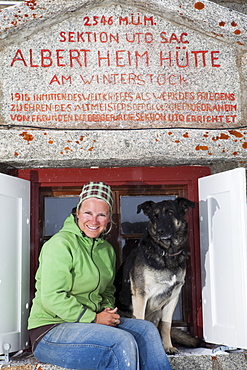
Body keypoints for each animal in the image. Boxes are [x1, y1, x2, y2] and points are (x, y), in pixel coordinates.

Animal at [115, 198, 200, 354]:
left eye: (170, 213)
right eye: (155, 216)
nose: (160, 231)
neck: (166, 252)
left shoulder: (173, 298)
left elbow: (166, 326)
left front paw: (168, 346)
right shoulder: (141, 295)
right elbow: (141, 321)